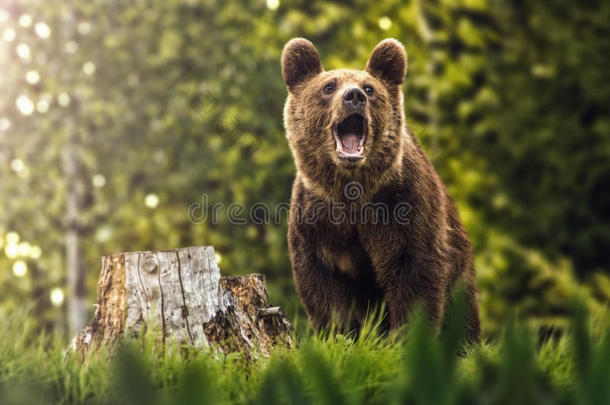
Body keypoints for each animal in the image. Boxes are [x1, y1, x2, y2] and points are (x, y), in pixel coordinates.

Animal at [282, 38, 480, 340]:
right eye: (329, 86)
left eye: (369, 88)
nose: (353, 96)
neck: (352, 189)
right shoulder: (317, 222)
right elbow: (323, 286)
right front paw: (336, 335)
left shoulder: (404, 207)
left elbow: (414, 275)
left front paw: (406, 338)